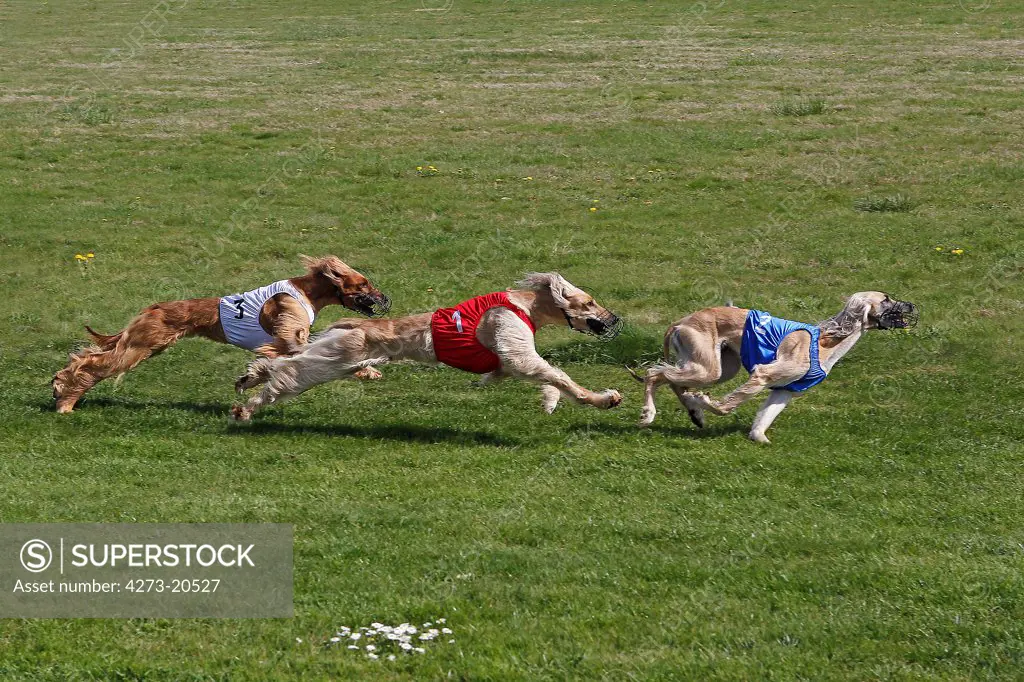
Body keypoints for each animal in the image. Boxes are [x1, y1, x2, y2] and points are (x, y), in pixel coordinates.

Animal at [54, 254, 393, 411]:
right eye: (363, 285)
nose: (385, 298)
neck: (307, 291)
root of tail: (153, 307)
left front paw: (248, 379)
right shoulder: (288, 337)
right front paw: (365, 370)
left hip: (144, 343)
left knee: (87, 357)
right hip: (140, 346)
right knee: (91, 365)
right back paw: (65, 400)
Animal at [230, 270, 622, 419]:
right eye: (589, 302)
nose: (615, 319)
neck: (524, 304)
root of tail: (352, 323)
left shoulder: (508, 360)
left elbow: (543, 375)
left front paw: (550, 401)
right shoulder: (512, 342)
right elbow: (555, 374)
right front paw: (604, 398)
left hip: (342, 357)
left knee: (280, 363)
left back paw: (250, 378)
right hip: (338, 357)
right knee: (287, 371)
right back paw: (246, 407)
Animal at [630, 290, 921, 440]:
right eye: (885, 299)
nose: (911, 305)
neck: (827, 341)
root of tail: (680, 321)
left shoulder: (785, 389)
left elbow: (764, 420)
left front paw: (759, 438)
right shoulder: (764, 374)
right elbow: (725, 406)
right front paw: (703, 402)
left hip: (720, 366)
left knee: (673, 380)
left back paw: (694, 414)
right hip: (709, 367)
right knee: (654, 373)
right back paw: (649, 414)